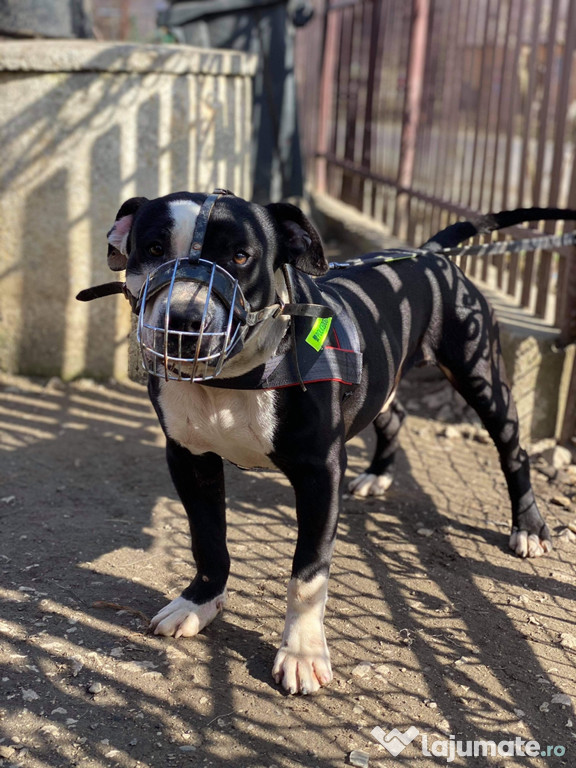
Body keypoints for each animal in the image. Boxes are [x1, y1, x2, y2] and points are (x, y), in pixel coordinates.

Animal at [79, 190, 564, 696]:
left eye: (240, 256)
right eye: (153, 249)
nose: (185, 320)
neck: (236, 378)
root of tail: (430, 254)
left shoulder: (320, 474)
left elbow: (308, 574)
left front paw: (302, 652)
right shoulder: (190, 460)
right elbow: (208, 540)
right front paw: (199, 603)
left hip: (481, 375)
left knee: (513, 450)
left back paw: (529, 526)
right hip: (381, 379)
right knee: (394, 415)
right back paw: (378, 475)